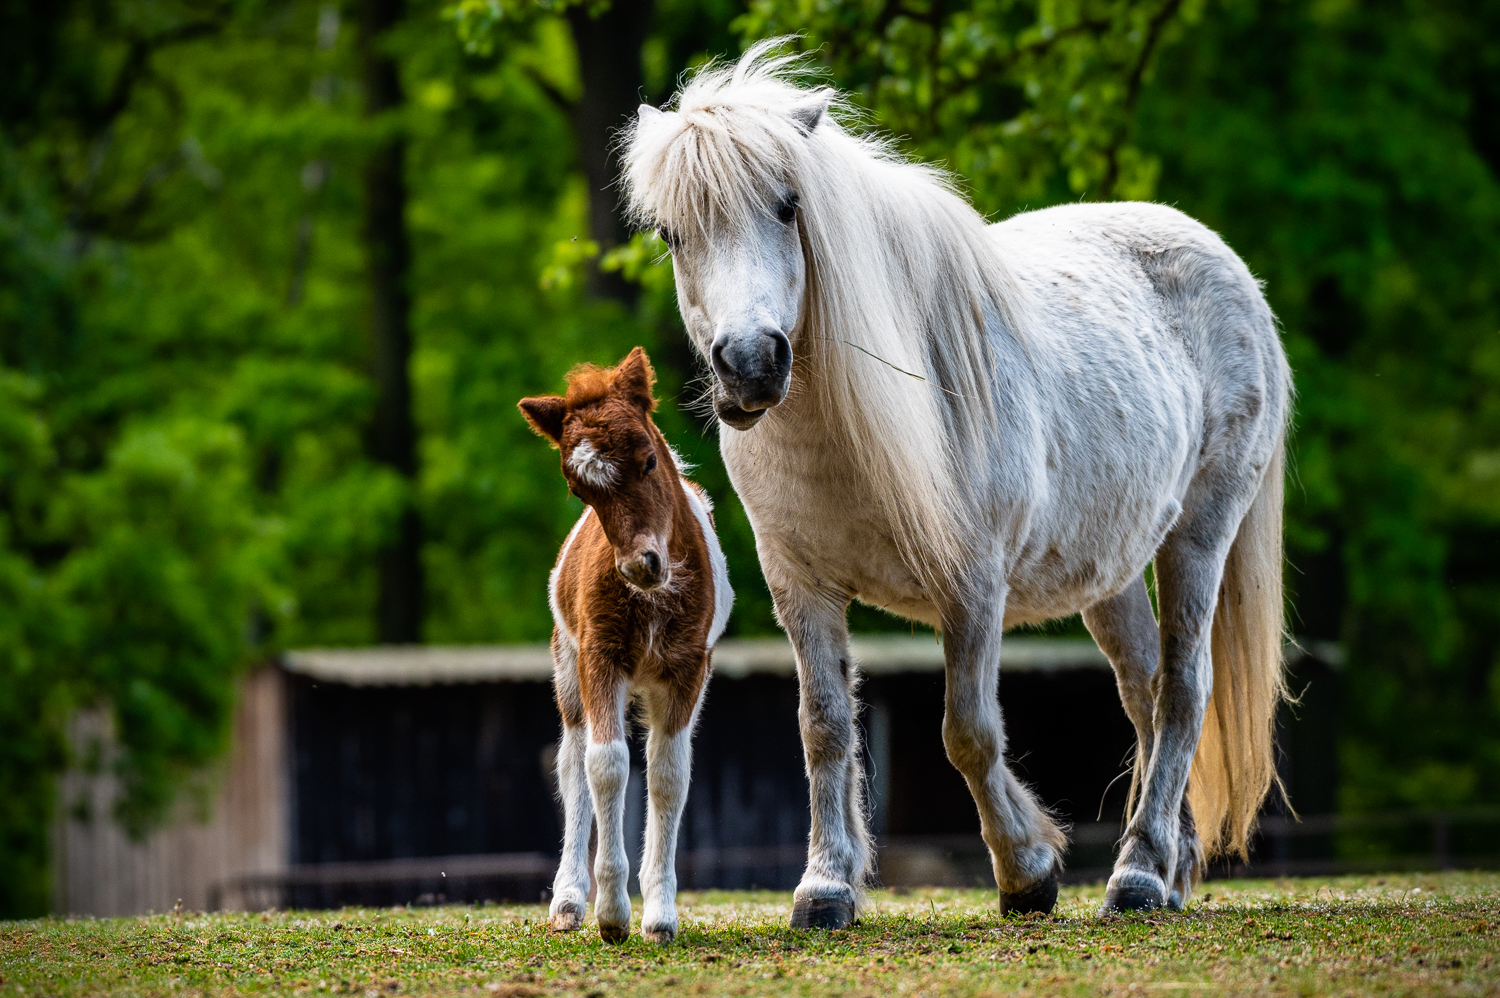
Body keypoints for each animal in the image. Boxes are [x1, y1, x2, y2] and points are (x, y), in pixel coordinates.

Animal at [519, 347, 733, 943]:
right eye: (580, 490)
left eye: (649, 461)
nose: (642, 565)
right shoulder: (601, 657)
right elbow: (607, 764)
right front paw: (612, 914)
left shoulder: (688, 669)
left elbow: (667, 772)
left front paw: (659, 916)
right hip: (568, 667)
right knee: (571, 762)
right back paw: (568, 902)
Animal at [622, 42, 1291, 925]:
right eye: (672, 233)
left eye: (788, 205)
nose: (751, 363)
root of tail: (1227, 267)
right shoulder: (799, 584)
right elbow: (824, 727)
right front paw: (826, 885)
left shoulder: (972, 586)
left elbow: (967, 731)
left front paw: (1028, 871)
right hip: (1111, 571)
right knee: (1144, 691)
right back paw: (1168, 868)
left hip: (1199, 536)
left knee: (1182, 690)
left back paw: (1139, 875)